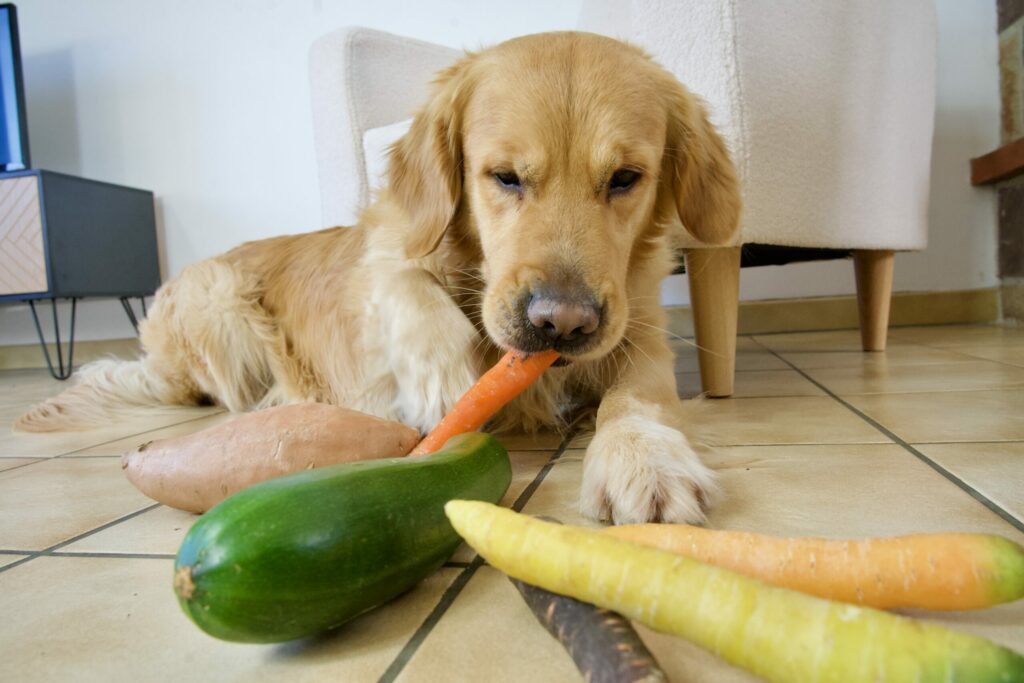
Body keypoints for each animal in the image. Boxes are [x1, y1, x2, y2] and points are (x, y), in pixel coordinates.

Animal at [16, 30, 741, 524]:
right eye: (505, 176)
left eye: (625, 178)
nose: (559, 322)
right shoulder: (388, 254)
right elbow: (404, 283)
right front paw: (443, 381)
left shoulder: (640, 331)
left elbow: (638, 396)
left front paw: (645, 458)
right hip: (216, 300)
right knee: (224, 396)